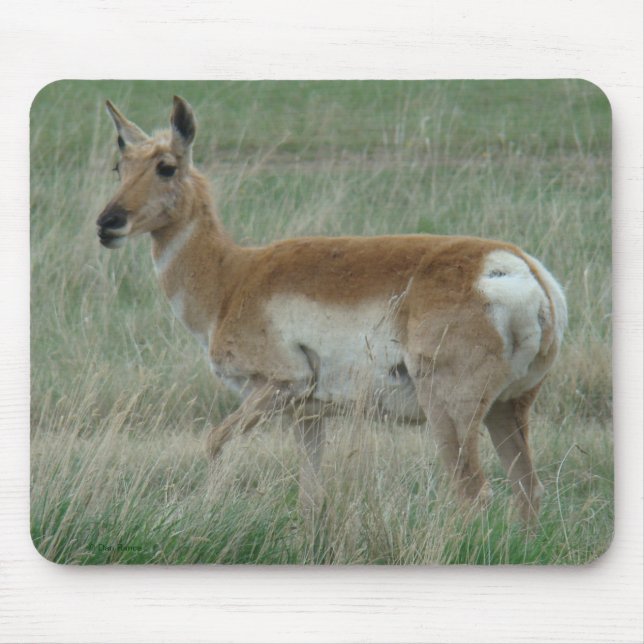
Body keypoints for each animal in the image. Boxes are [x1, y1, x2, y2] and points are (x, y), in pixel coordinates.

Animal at [96, 96, 567, 524]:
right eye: (120, 166)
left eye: (166, 166)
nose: (107, 223)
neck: (233, 277)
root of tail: (520, 270)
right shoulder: (307, 415)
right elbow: (310, 496)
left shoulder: (279, 386)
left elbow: (214, 442)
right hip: (508, 407)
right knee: (528, 489)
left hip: (450, 410)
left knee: (472, 489)